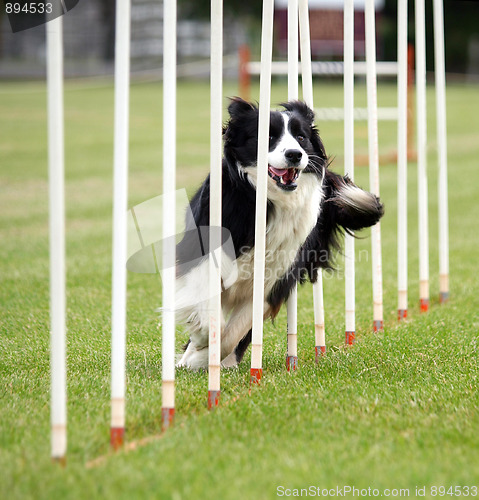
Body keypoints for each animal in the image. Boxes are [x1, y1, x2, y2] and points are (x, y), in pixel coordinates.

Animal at [174, 99, 384, 370]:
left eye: (301, 137)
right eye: (268, 136)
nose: (294, 154)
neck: (269, 201)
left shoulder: (276, 278)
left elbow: (234, 333)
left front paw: (202, 356)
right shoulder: (203, 251)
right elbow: (207, 305)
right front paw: (199, 341)